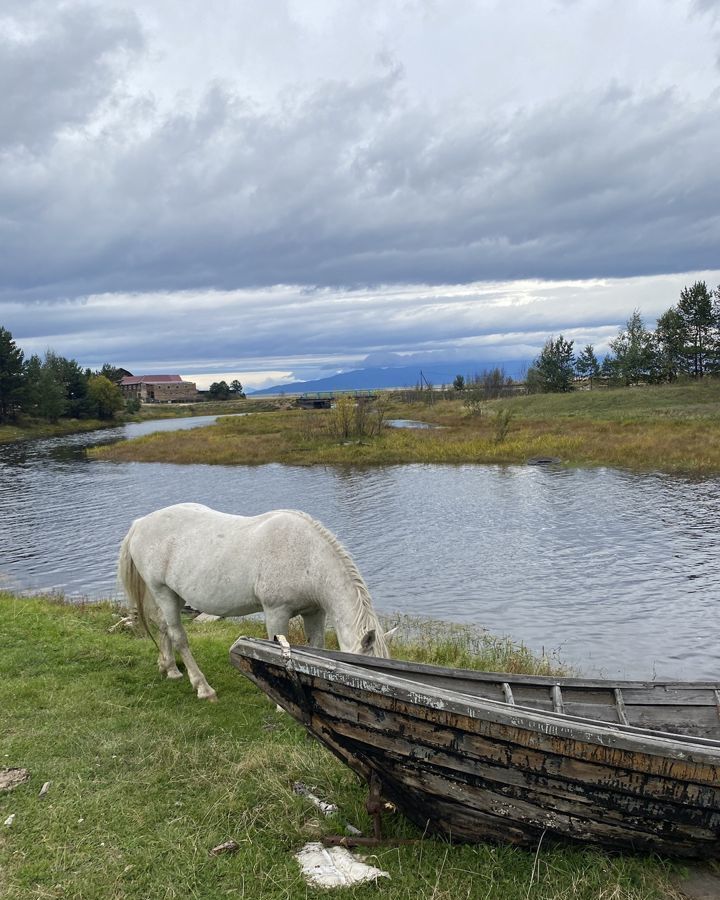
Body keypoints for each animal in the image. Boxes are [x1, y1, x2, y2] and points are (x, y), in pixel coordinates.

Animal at [118, 502, 390, 700]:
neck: (308, 558)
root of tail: (140, 524)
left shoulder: (314, 612)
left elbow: (316, 647)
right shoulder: (276, 612)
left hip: (172, 594)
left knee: (163, 626)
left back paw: (170, 670)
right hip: (162, 591)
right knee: (178, 636)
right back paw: (203, 688)